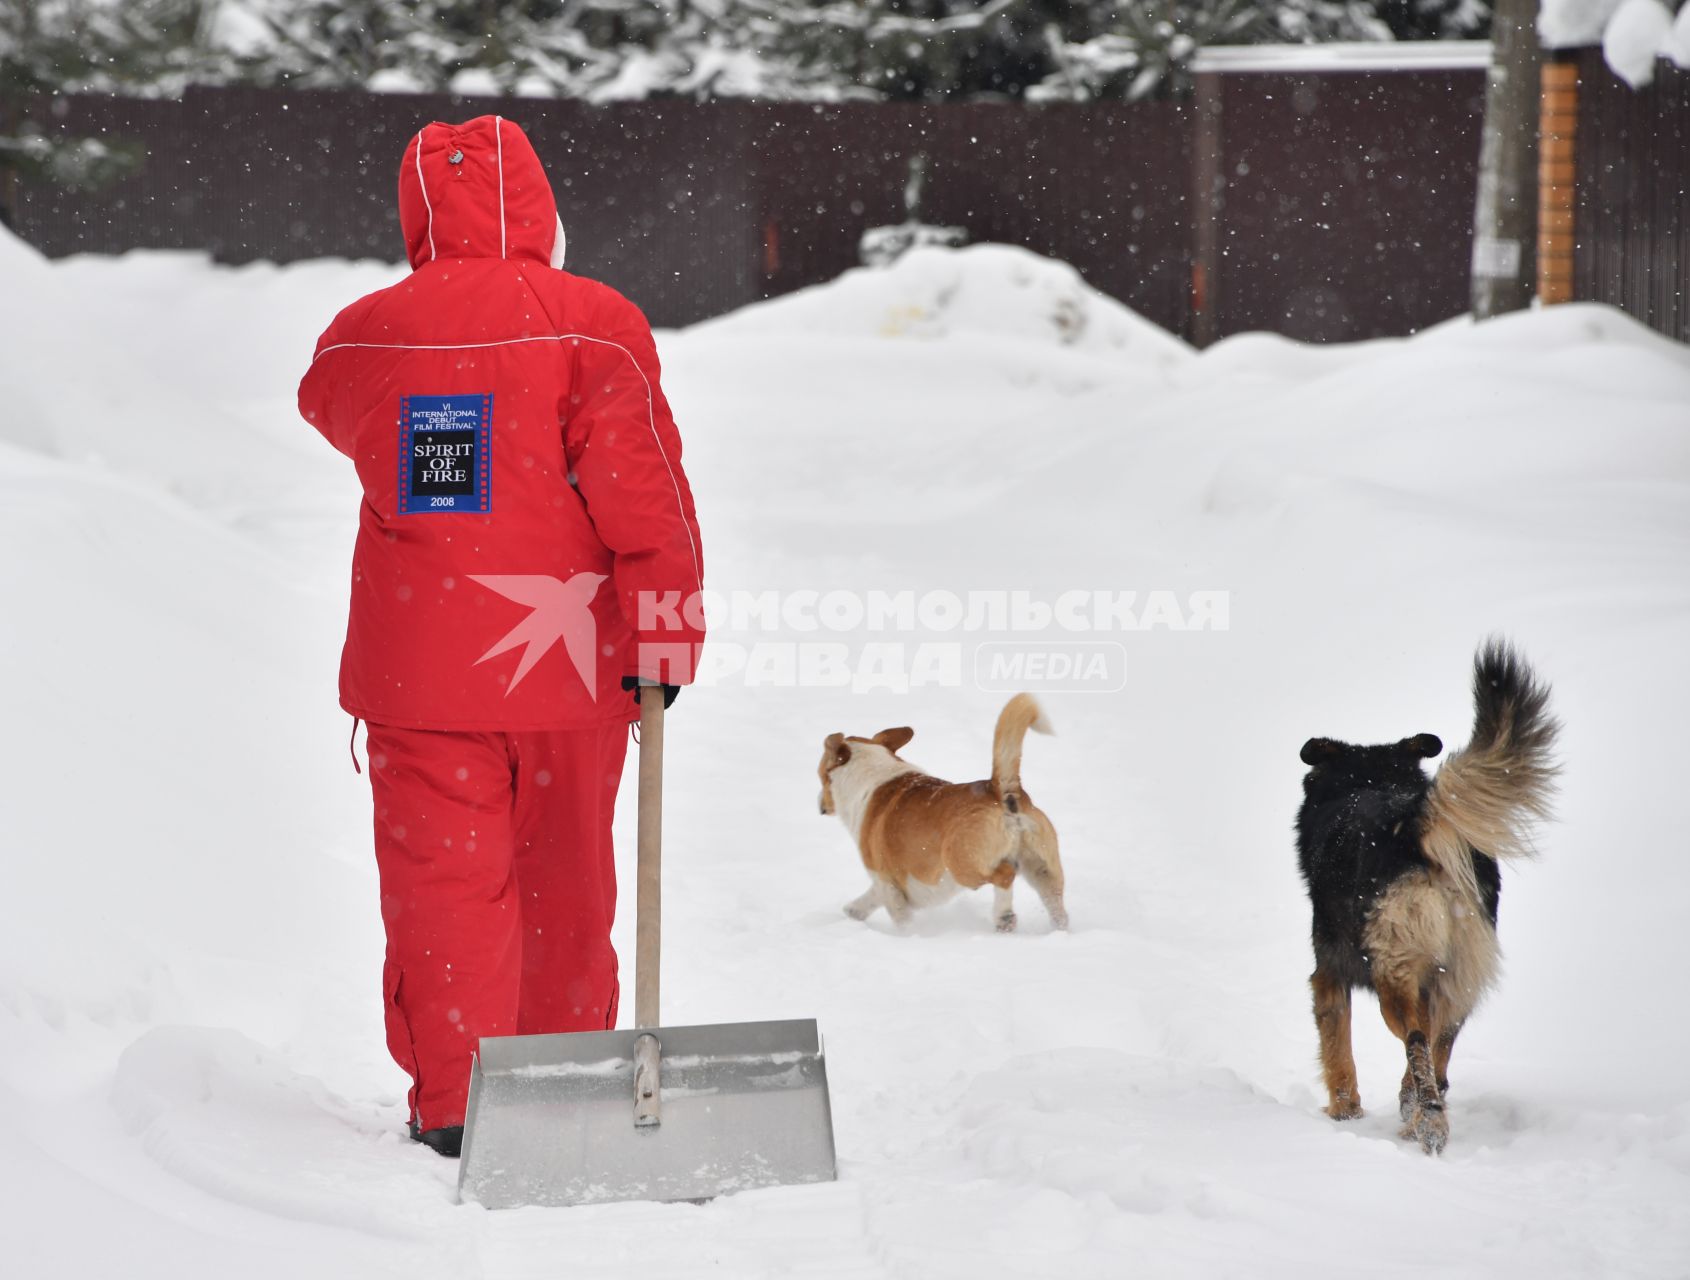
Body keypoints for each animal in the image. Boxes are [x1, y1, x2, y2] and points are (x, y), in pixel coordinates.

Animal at [811, 693, 1061, 933]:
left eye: (821, 775)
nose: (820, 804)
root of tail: (999, 789)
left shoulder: (887, 883)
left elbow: (901, 920)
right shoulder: (887, 885)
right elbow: (867, 900)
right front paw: (852, 911)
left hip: (964, 866)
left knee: (1006, 874)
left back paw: (1004, 917)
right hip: (1043, 869)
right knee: (1054, 902)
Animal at [1291, 642, 1554, 1156]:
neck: (1369, 784)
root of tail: (1415, 824)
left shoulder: (1327, 972)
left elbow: (1338, 1052)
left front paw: (1345, 1114)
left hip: (1396, 970)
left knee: (1416, 1042)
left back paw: (1427, 1121)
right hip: (1461, 968)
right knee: (1441, 1046)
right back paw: (1416, 1114)